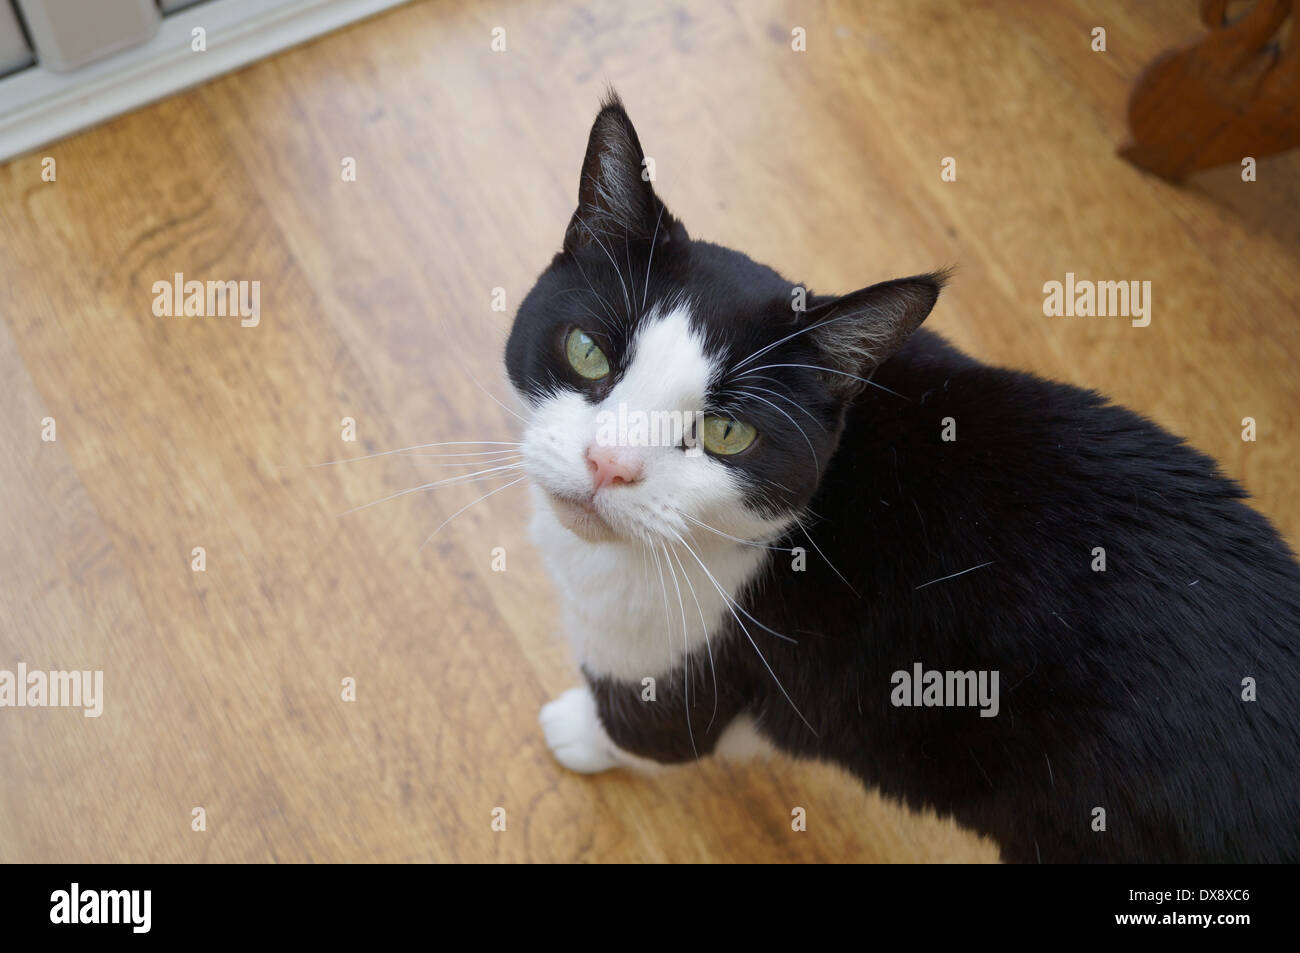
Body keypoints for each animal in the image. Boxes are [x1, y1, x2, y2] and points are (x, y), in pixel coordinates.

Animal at [504, 91, 1300, 863]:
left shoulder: (688, 659)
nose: (609, 464)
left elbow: (650, 733)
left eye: (728, 433)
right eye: (587, 352)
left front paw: (576, 730)